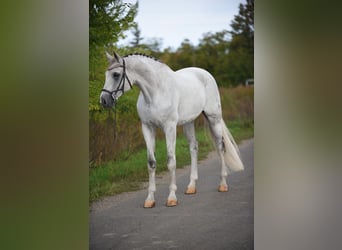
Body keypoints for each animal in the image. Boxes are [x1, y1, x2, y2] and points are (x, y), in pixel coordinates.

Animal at [99, 51, 243, 208]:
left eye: (116, 74)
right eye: (106, 74)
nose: (104, 100)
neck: (155, 93)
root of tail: (205, 74)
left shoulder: (169, 127)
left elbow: (171, 161)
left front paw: (172, 197)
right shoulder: (147, 128)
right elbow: (151, 163)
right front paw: (150, 199)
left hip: (213, 118)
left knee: (220, 146)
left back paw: (223, 184)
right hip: (189, 122)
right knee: (194, 147)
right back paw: (191, 187)